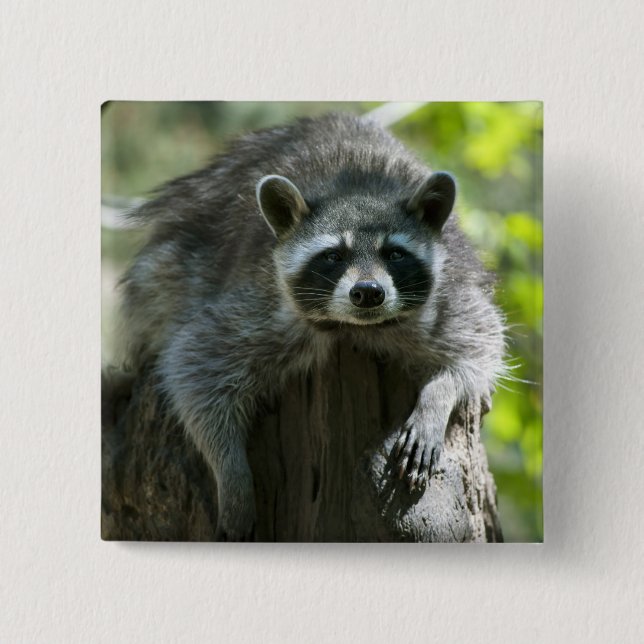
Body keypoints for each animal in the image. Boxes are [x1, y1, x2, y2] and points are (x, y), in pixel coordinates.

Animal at [113, 112, 505, 540]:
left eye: (394, 253)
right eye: (334, 255)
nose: (368, 293)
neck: (352, 328)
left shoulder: (448, 296)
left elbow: (478, 347)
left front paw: (437, 398)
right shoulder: (262, 304)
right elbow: (194, 366)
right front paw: (230, 471)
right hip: (170, 265)